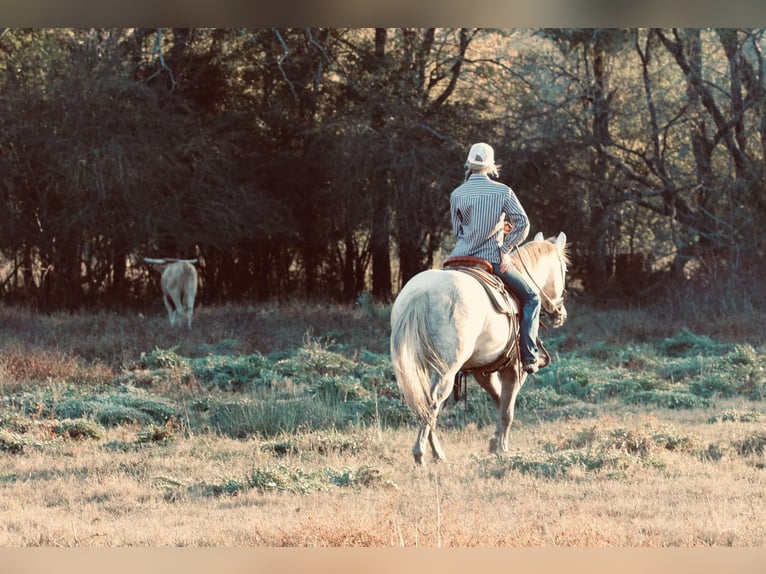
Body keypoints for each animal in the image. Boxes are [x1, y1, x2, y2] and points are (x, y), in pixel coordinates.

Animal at [390, 232, 568, 466]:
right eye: (564, 269)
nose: (560, 313)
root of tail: (422, 292)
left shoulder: (482, 371)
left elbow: (499, 400)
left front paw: (494, 443)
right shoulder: (514, 369)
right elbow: (507, 409)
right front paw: (502, 447)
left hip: (425, 368)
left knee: (426, 405)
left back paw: (437, 453)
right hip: (446, 372)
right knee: (432, 404)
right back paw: (420, 455)